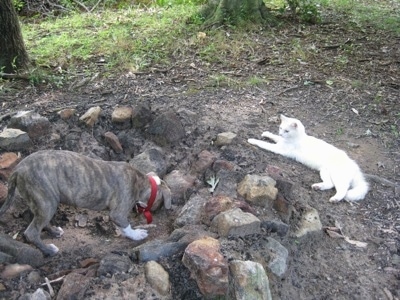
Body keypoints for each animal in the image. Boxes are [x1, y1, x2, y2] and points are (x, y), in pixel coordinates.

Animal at [0, 150, 170, 255]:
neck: (140, 181)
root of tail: (17, 170)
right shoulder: (118, 213)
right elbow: (126, 226)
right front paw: (137, 234)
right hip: (47, 202)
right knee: (31, 232)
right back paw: (49, 250)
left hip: (40, 203)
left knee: (35, 219)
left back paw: (54, 231)